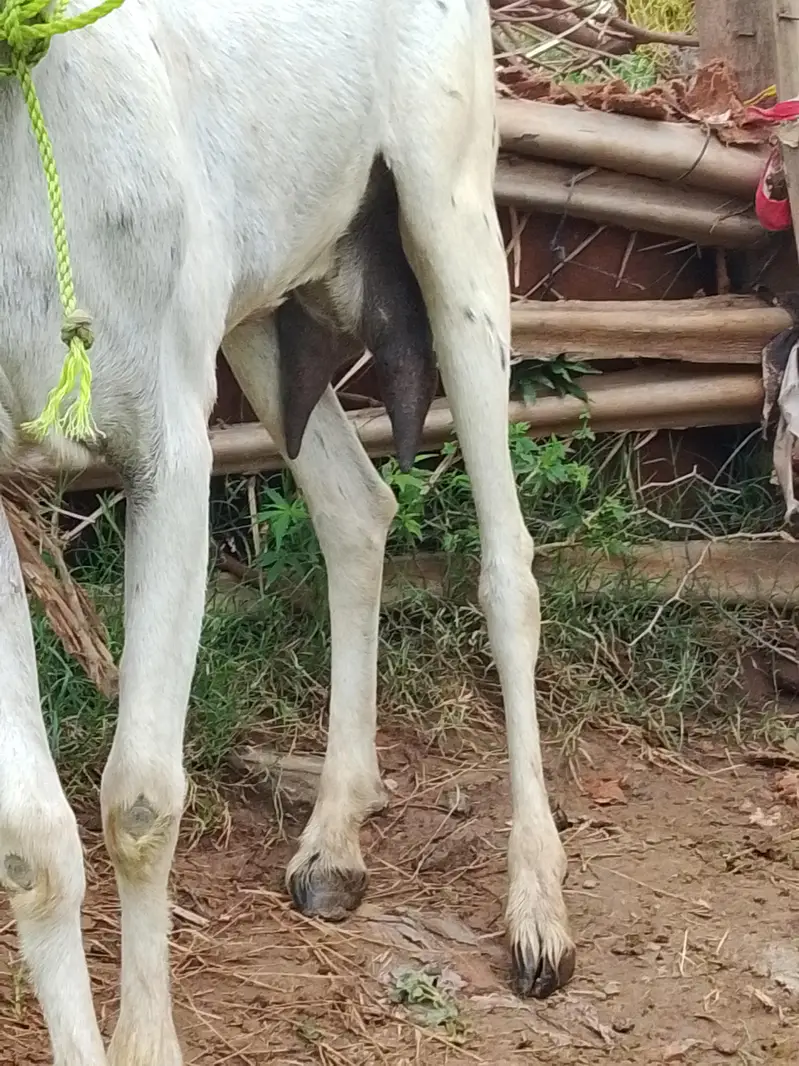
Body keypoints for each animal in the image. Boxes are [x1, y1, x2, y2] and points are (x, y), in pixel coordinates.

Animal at [0, 2, 574, 1063]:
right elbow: (30, 843)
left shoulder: (171, 455)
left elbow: (140, 800)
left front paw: (149, 1041)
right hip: (262, 314)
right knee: (357, 510)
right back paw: (334, 841)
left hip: (455, 231)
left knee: (506, 571)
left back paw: (537, 912)